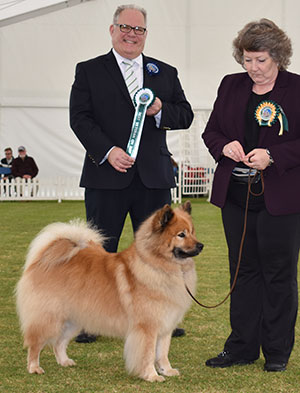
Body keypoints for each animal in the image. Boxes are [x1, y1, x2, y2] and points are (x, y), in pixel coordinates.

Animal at [17, 202, 204, 380]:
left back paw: (64, 361)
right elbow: (148, 354)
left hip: (73, 319)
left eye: (193, 232)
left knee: (59, 343)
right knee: (35, 343)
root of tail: (40, 261)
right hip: (50, 318)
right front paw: (151, 375)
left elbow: (162, 353)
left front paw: (167, 370)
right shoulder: (147, 327)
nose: (201, 245)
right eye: (181, 234)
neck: (156, 265)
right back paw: (34, 367)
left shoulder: (165, 325)